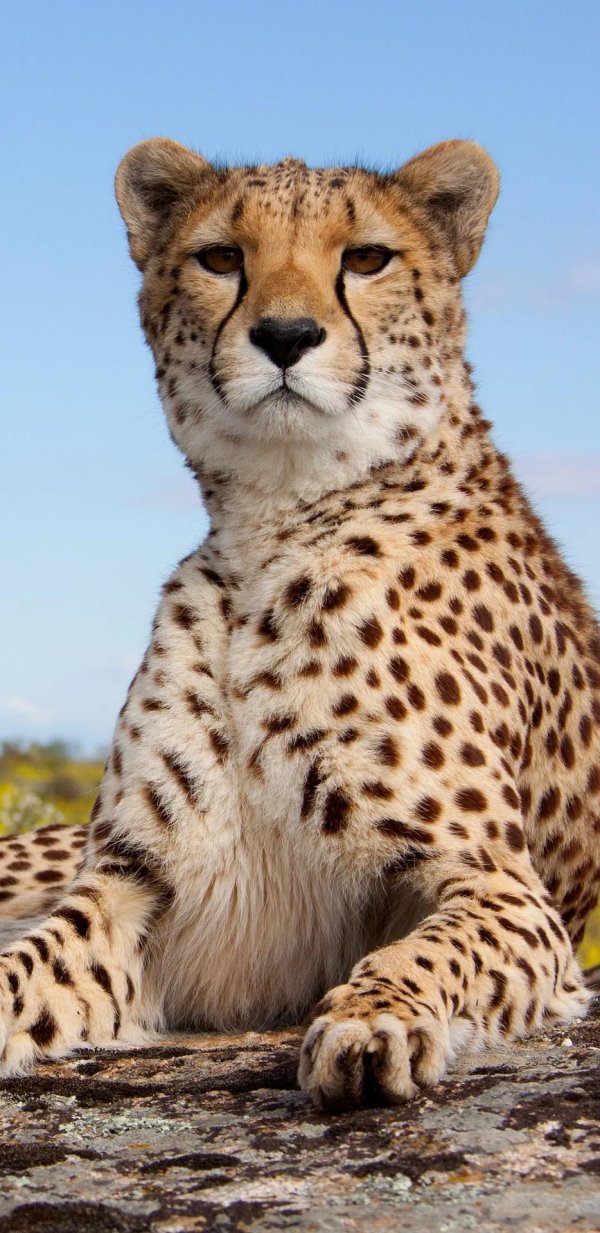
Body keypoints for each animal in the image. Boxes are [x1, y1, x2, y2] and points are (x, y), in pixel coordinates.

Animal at [1, 136, 599, 1110]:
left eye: (367, 258)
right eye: (220, 258)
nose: (285, 336)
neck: (276, 521)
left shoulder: (504, 890)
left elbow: (427, 950)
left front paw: (373, 1018)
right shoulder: (130, 886)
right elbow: (22, 967)